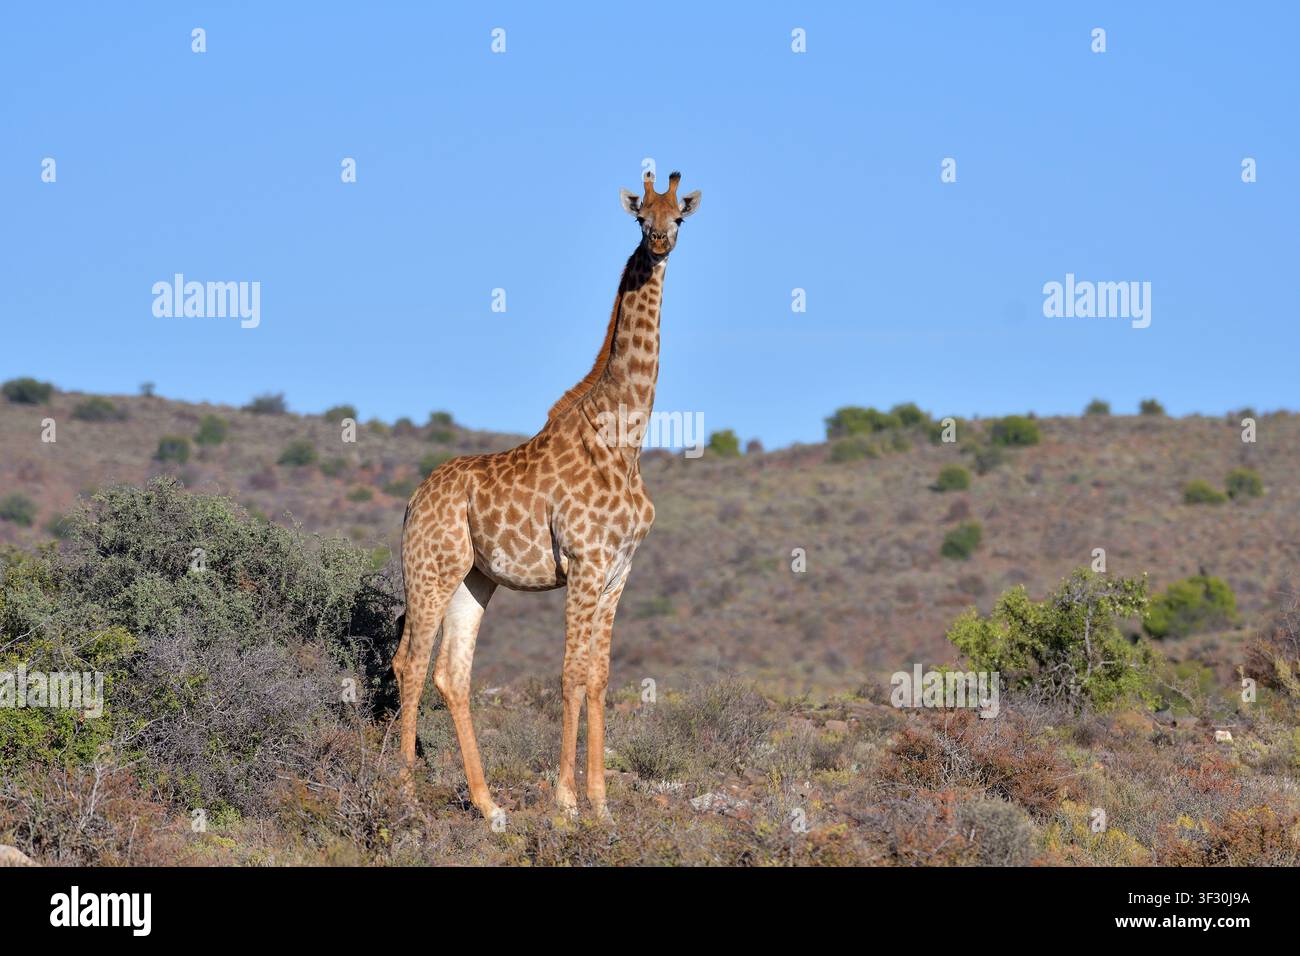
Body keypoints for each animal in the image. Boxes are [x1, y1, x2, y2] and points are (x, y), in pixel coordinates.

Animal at [393, 169, 702, 824]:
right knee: (411, 662)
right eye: (642, 217)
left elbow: (599, 677)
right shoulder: (584, 562)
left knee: (452, 674)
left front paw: (601, 804)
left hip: (474, 579)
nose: (660, 242)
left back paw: (488, 807)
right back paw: (401, 790)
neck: (624, 438)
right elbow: (569, 675)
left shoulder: (618, 571)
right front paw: (565, 802)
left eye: (680, 217)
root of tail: (411, 501)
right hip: (430, 568)